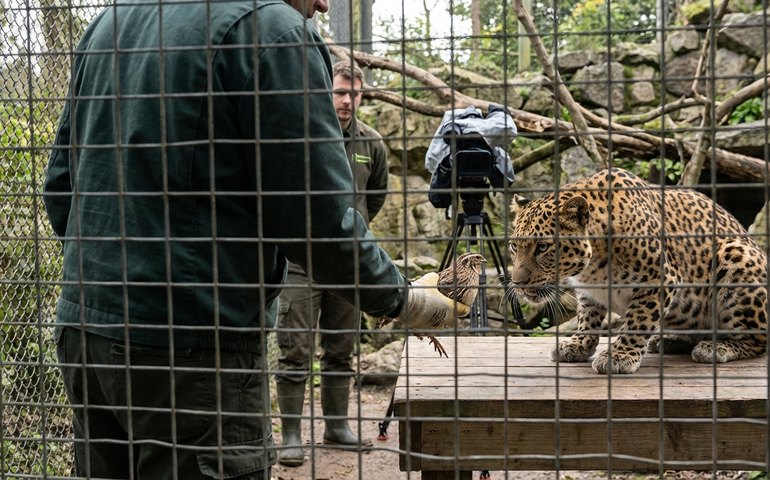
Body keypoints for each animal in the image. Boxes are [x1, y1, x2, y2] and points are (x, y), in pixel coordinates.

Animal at [507, 167, 767, 374]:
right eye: (514, 246)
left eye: (542, 247)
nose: (518, 283)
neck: (593, 266)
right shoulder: (589, 291)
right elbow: (587, 317)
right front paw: (577, 344)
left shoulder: (660, 280)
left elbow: (638, 320)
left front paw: (619, 356)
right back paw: (670, 341)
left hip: (736, 256)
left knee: (757, 339)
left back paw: (714, 347)